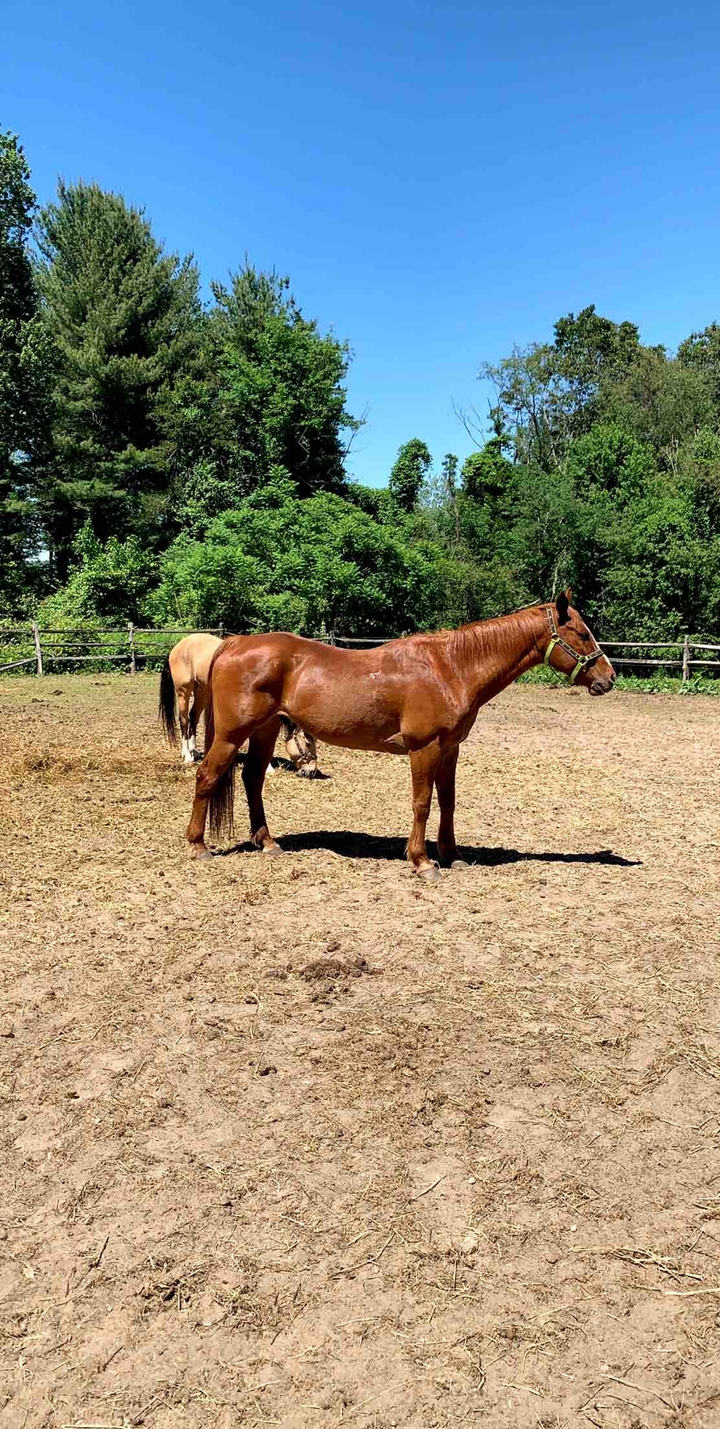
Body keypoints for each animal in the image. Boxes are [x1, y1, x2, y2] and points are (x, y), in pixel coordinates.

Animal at [158, 632, 319, 776]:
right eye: (308, 743)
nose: (311, 772)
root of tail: (178, 646)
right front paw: (268, 768)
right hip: (183, 690)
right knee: (184, 720)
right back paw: (187, 756)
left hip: (201, 691)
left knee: (194, 717)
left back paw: (195, 752)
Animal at [185, 591, 615, 878]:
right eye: (580, 633)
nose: (608, 678)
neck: (450, 667)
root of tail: (234, 643)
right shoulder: (424, 749)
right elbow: (422, 803)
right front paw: (423, 861)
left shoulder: (450, 750)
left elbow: (448, 803)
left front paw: (452, 855)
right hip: (232, 733)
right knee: (207, 776)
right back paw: (199, 846)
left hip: (267, 728)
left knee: (252, 778)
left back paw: (268, 842)